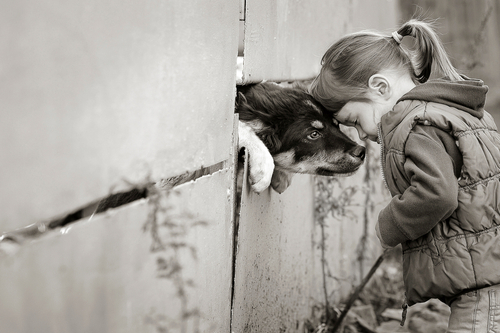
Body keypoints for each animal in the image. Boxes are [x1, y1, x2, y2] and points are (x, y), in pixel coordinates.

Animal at [236, 80, 366, 193]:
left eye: (336, 124)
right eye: (313, 134)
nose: (362, 152)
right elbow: (243, 127)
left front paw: (282, 177)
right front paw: (263, 168)